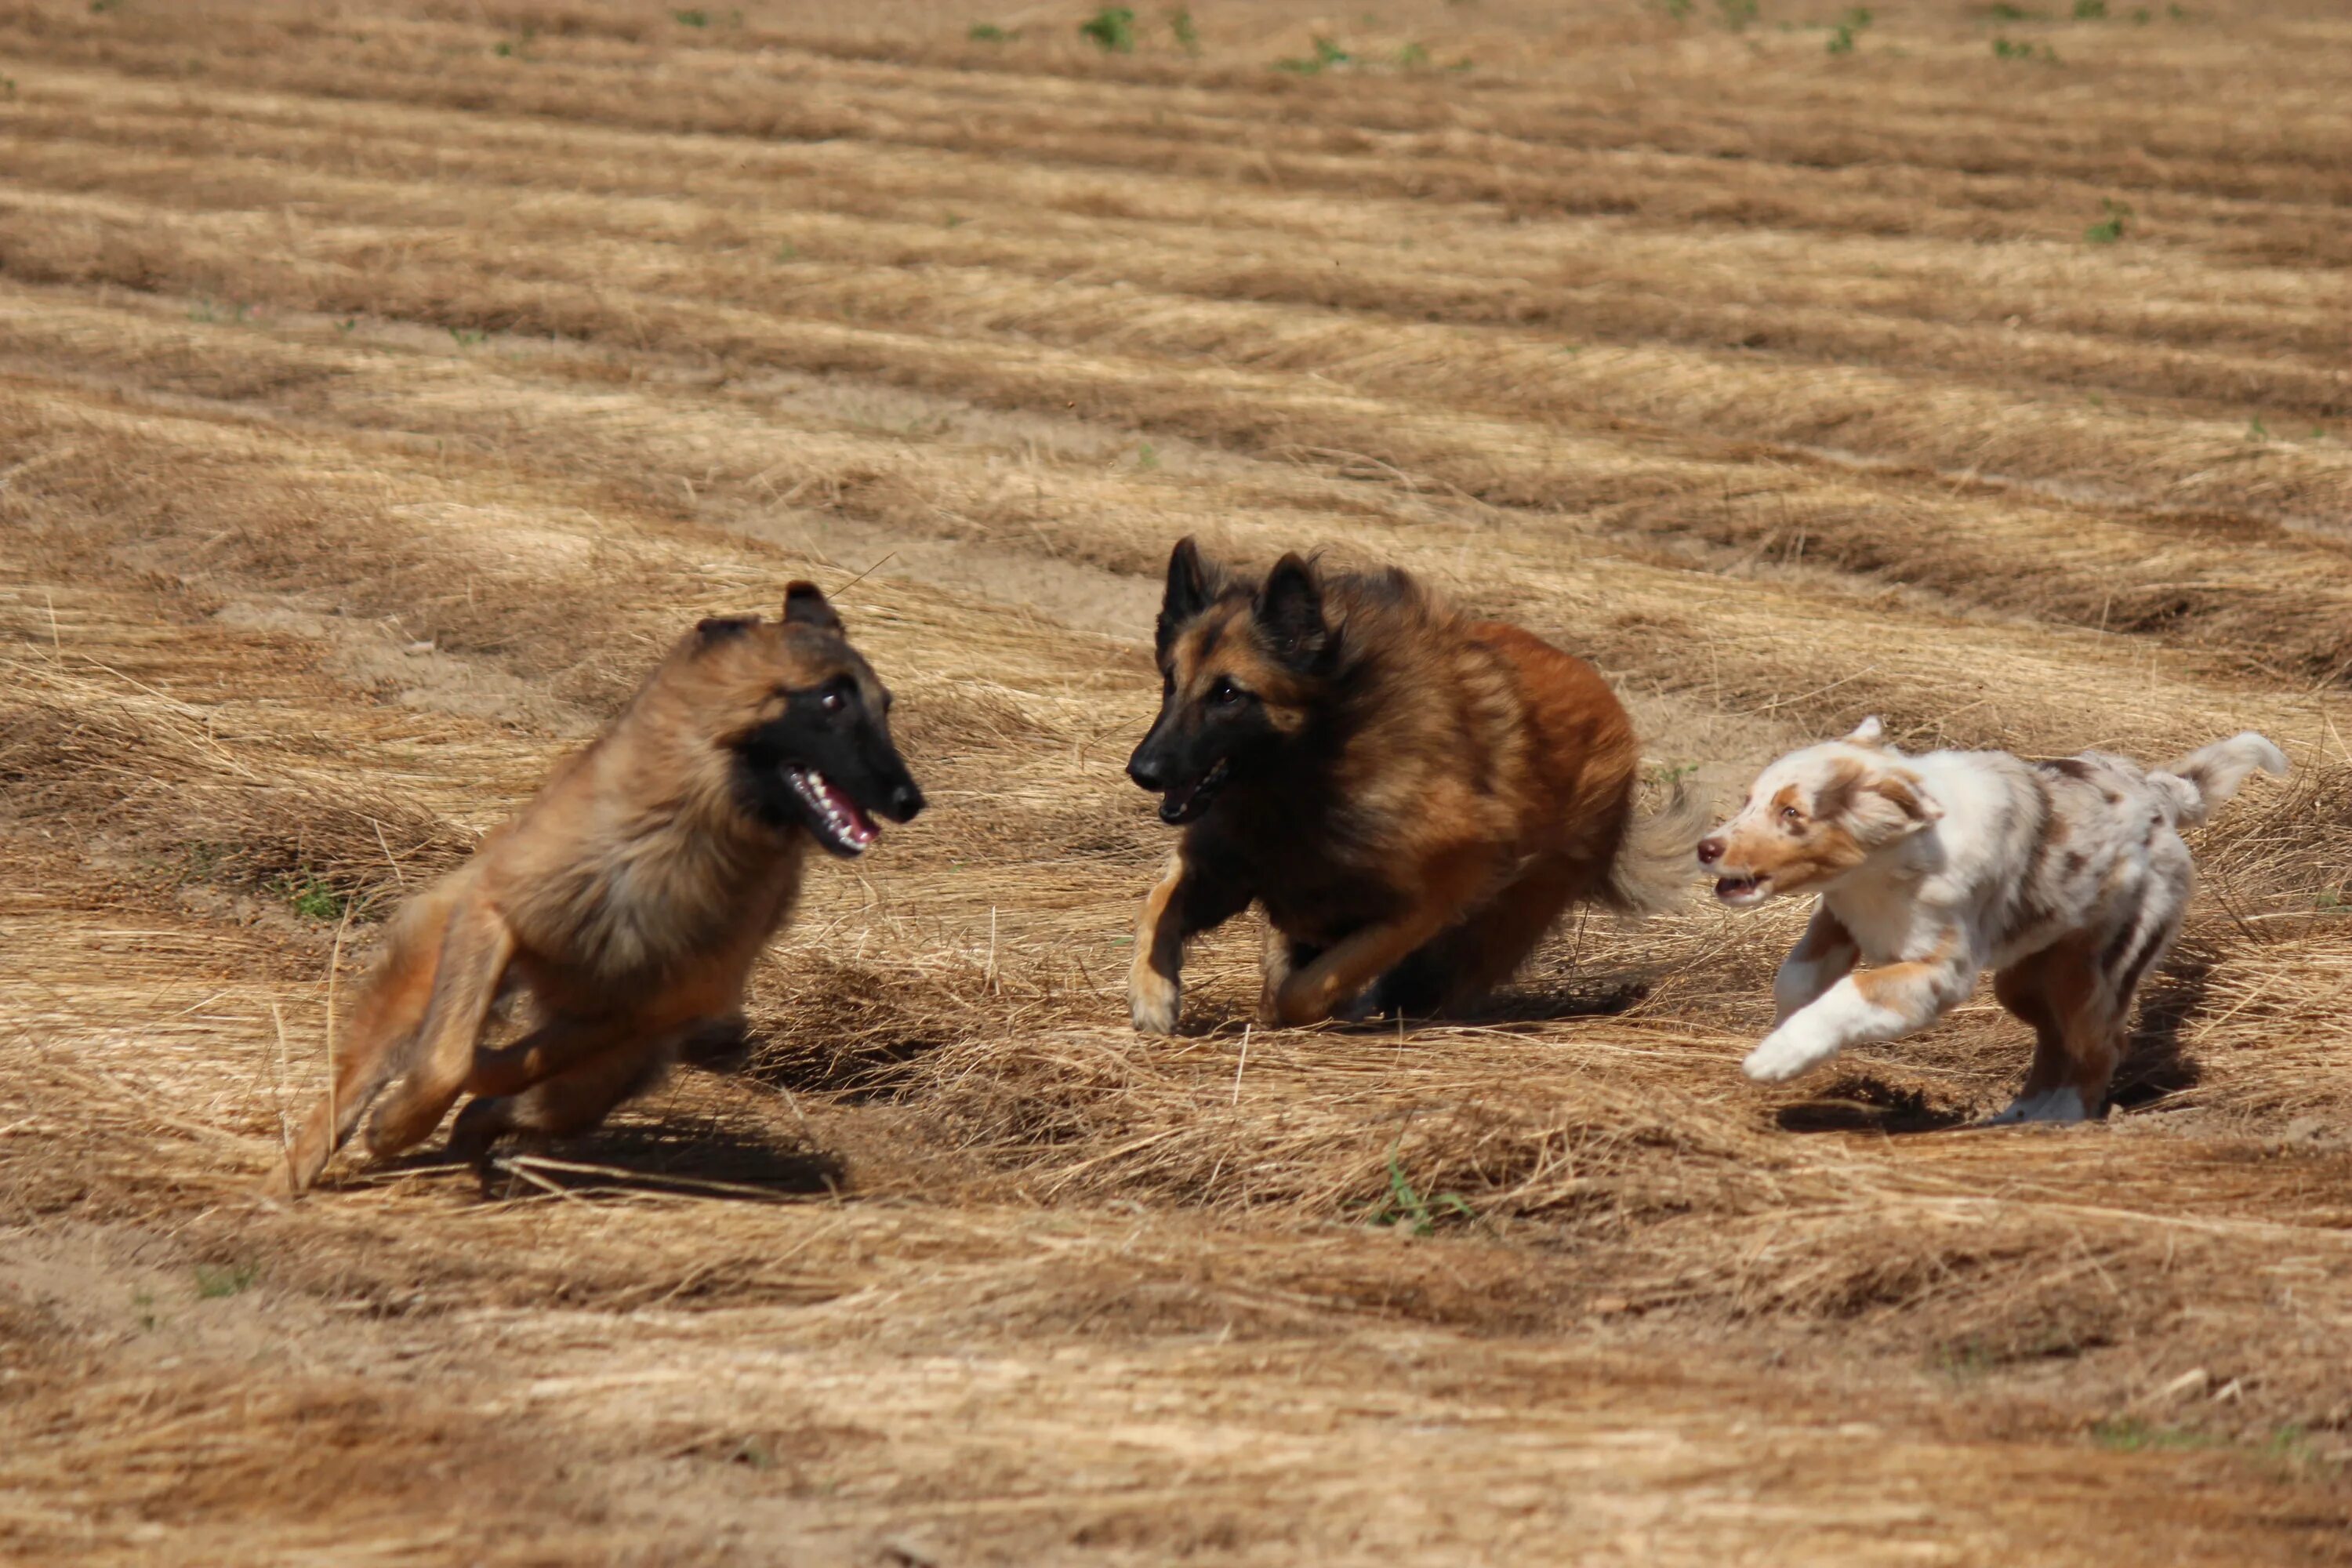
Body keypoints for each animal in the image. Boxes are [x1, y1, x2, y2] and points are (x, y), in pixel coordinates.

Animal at [262, 583, 913, 1194]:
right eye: (832, 699)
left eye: (885, 708)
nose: (912, 800)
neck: (685, 831)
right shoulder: (494, 914)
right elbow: (448, 1059)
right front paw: (398, 1124)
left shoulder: (638, 1012)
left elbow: (508, 1066)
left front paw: (478, 1080)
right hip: (423, 985)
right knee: (370, 1078)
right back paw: (294, 1177)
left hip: (604, 1075)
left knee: (518, 1105)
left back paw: (478, 1138)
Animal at [1120, 540, 1693, 1029]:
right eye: (1171, 682)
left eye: (1228, 694)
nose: (1143, 771)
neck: (1320, 760)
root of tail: (1609, 703)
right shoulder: (1224, 866)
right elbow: (1157, 907)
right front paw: (1152, 994)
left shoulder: (1425, 902)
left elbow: (1303, 991)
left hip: (1493, 925)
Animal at [1703, 719, 2286, 1123]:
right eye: (1750, 801)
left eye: (1792, 813)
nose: (1706, 848)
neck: (1888, 864)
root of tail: (2157, 795)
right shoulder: (1839, 915)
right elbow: (1797, 979)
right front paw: (1786, 1033)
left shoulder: (1941, 971)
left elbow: (1853, 992)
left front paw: (1778, 1057)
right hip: (2027, 977)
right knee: (2054, 1039)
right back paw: (2023, 1112)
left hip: (2094, 969)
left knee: (2100, 1046)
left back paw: (2065, 1115)